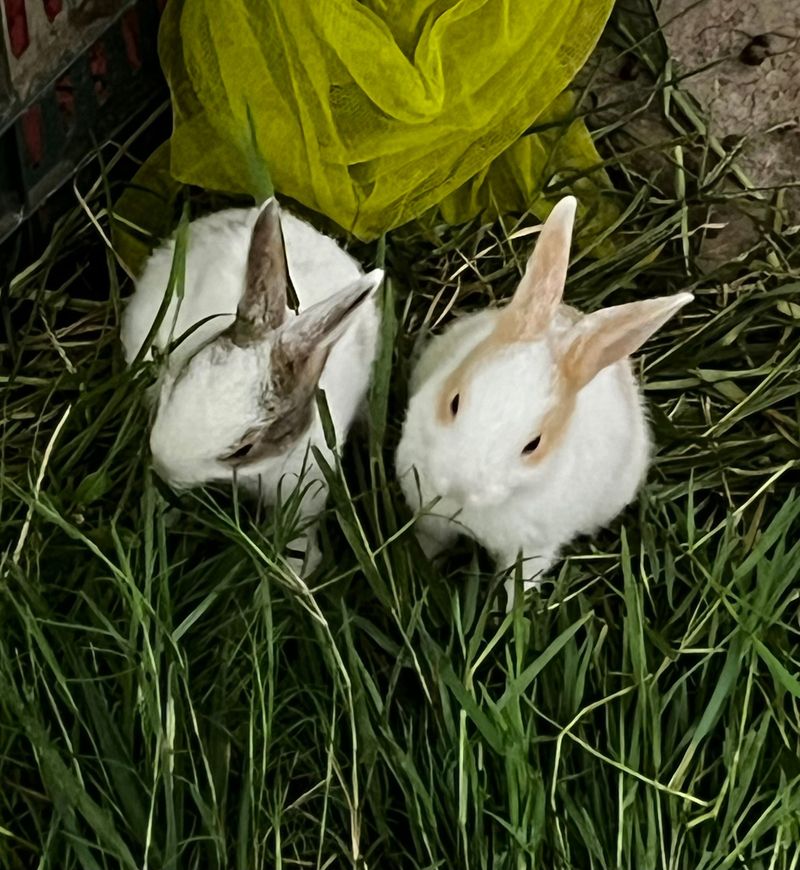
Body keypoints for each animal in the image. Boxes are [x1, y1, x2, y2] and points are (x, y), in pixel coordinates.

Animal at [395, 196, 692, 609]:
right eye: (454, 402)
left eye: (533, 445)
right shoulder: (429, 515)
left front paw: (507, 615)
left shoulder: (533, 549)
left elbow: (517, 585)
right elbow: (430, 545)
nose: (457, 483)